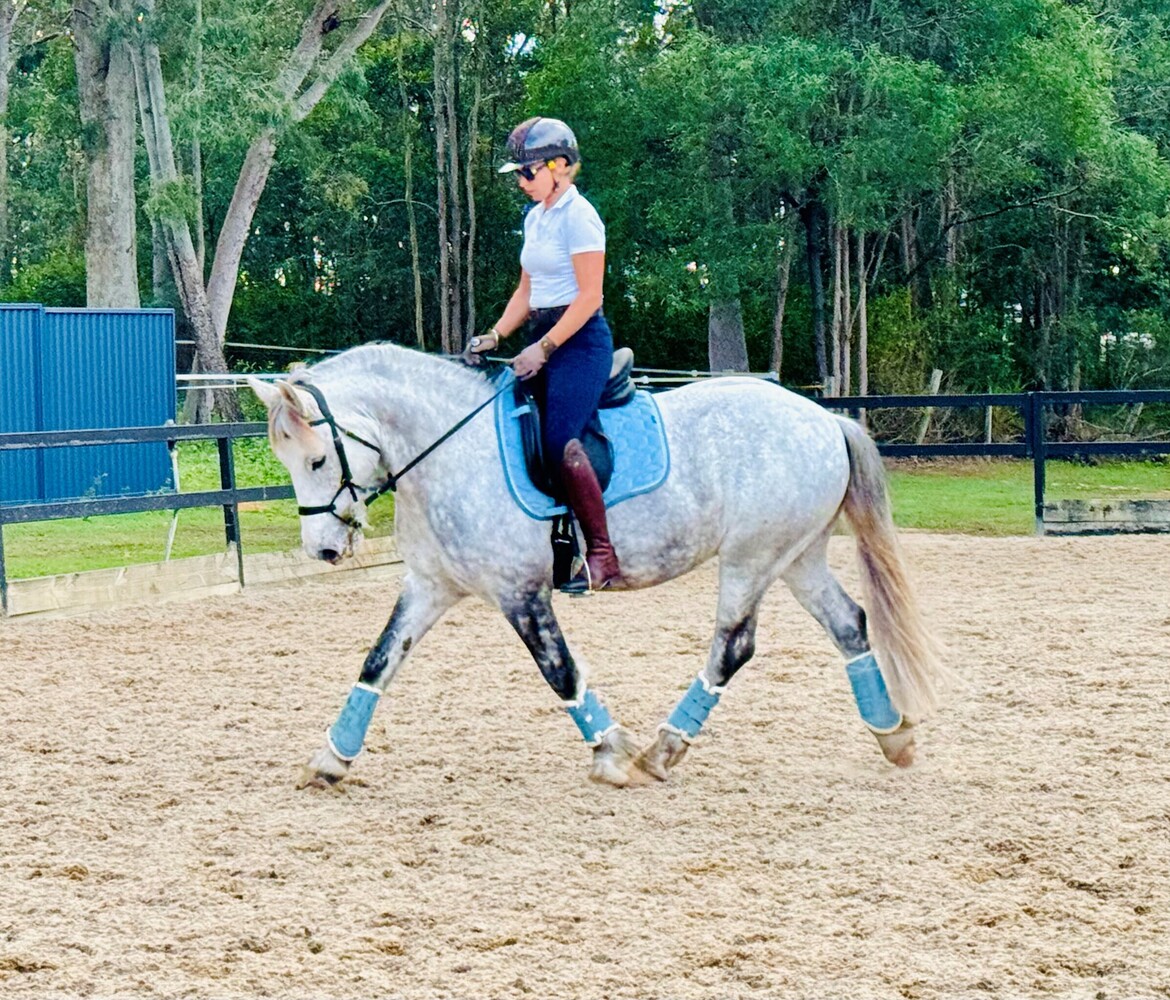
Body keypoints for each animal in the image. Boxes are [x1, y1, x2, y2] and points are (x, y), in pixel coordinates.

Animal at [247, 342, 945, 789]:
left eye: (316, 459)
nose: (323, 550)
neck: (449, 447)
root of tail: (823, 416)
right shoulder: (430, 586)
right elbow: (378, 662)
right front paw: (331, 759)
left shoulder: (521, 592)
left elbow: (560, 671)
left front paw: (611, 752)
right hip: (796, 556)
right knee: (850, 624)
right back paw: (892, 735)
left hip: (752, 558)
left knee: (733, 646)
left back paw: (663, 750)